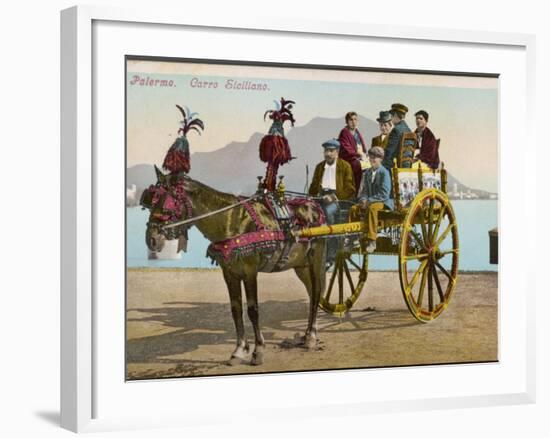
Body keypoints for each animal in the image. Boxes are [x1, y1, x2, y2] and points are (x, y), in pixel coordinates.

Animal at [141, 167, 328, 366]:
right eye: (151, 202)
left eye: (168, 203)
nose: (151, 239)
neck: (231, 221)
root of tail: (314, 206)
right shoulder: (230, 273)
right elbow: (236, 309)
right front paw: (239, 350)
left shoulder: (250, 272)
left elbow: (253, 310)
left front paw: (258, 351)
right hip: (301, 265)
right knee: (312, 293)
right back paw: (308, 333)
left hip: (316, 260)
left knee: (316, 292)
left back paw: (311, 337)